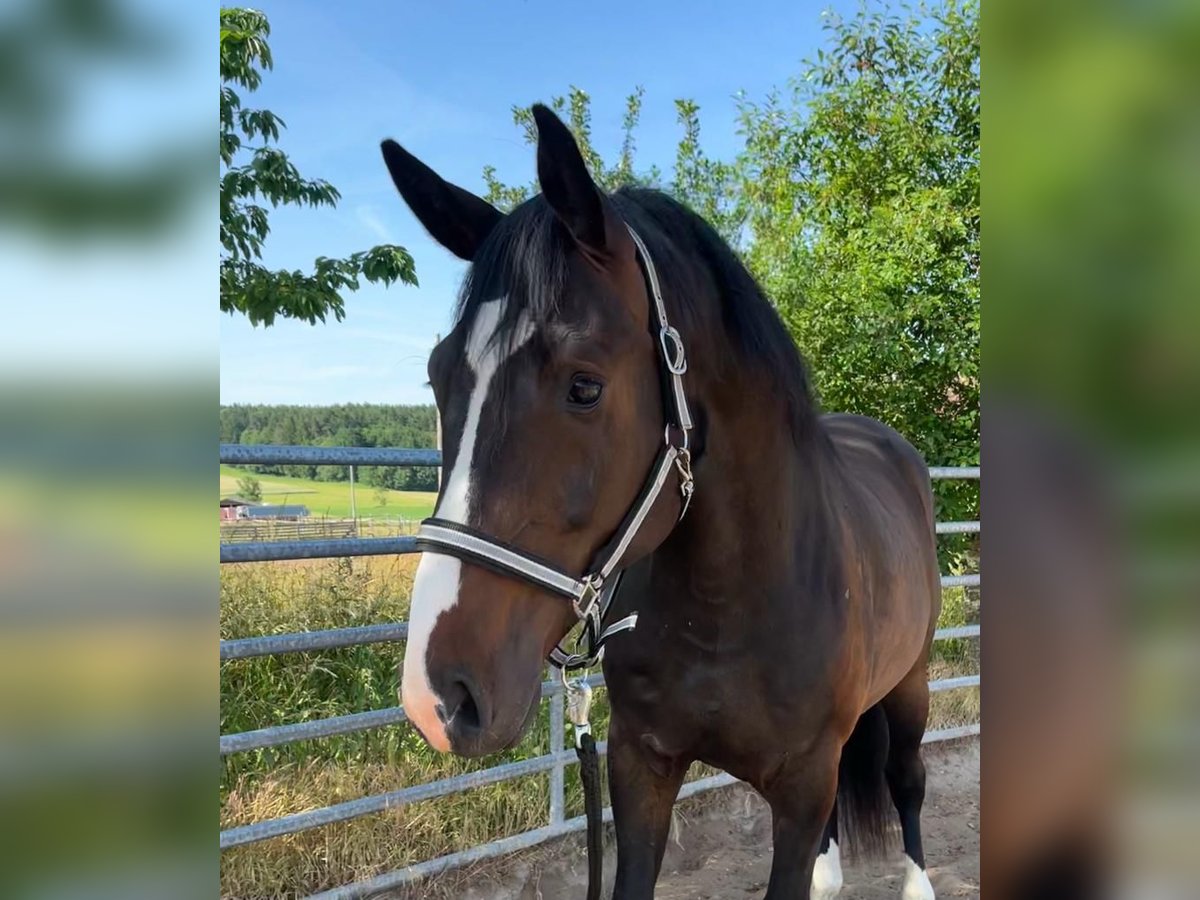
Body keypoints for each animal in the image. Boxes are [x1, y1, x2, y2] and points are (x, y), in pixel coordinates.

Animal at [379, 107, 940, 900]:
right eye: (438, 376)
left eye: (585, 386)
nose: (436, 696)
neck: (730, 607)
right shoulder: (640, 766)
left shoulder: (801, 788)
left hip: (912, 682)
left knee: (907, 776)